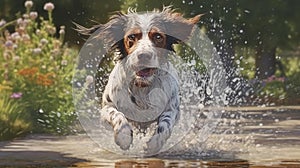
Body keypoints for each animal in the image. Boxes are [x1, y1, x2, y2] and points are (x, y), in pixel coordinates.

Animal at [76, 6, 200, 154]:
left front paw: (154, 143)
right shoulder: (106, 108)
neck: (142, 85)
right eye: (131, 37)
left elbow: (166, 123)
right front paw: (123, 137)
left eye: (158, 36)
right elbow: (117, 115)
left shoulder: (173, 109)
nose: (144, 55)